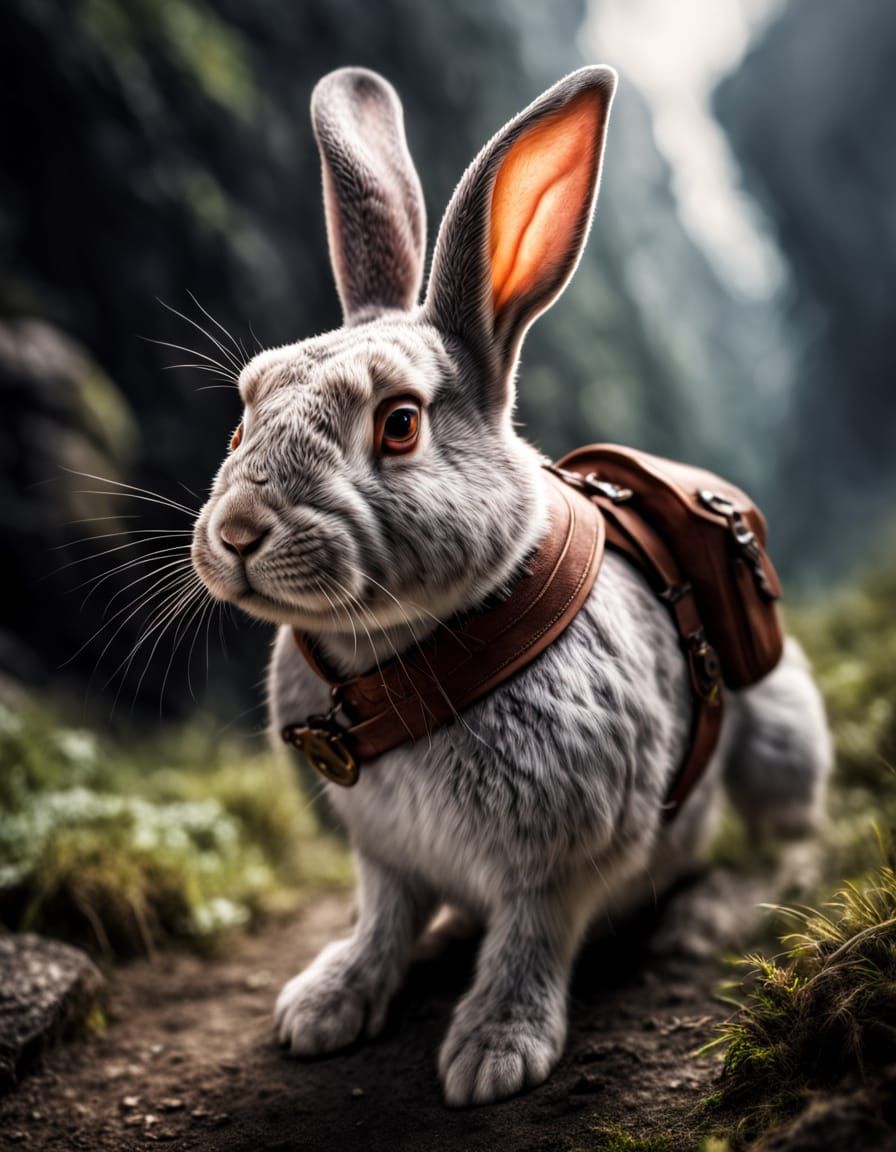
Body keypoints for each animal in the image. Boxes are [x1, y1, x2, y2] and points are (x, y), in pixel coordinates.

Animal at [191, 65, 831, 1107]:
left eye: (400, 424)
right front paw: (323, 1008)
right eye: (242, 418)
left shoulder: (563, 853)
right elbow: (383, 916)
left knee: (792, 842)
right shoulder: (385, 853)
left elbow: (531, 935)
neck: (398, 662)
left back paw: (706, 918)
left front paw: (493, 1055)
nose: (239, 533)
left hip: (776, 741)